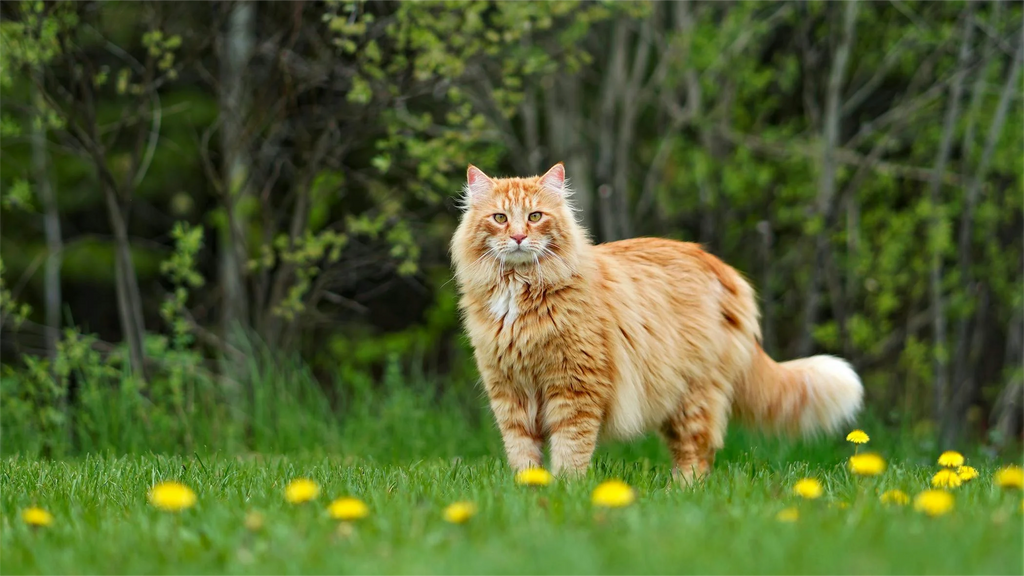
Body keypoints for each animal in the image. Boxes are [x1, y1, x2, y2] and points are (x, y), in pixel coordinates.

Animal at [452, 161, 860, 479]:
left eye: (535, 217)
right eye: (500, 218)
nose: (519, 236)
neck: (519, 293)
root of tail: (723, 268)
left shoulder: (575, 388)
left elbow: (570, 450)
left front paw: (566, 490)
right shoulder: (509, 392)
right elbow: (523, 453)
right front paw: (530, 489)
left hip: (693, 395)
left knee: (698, 455)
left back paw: (681, 494)